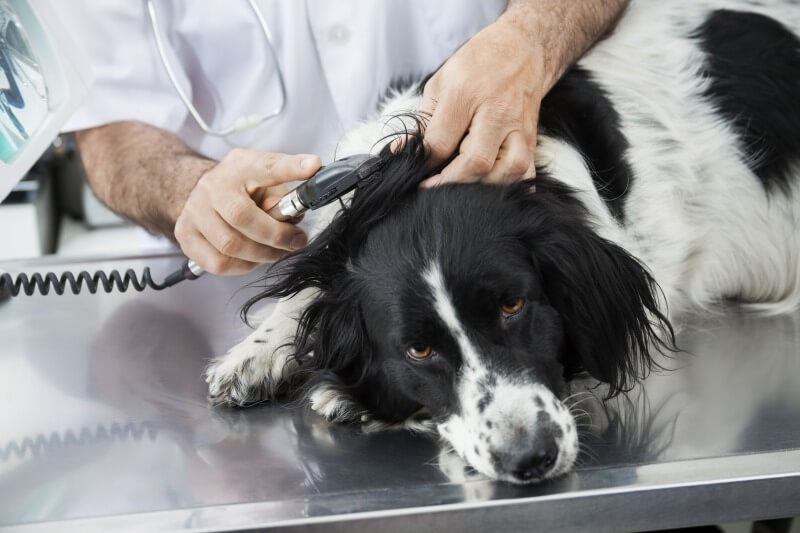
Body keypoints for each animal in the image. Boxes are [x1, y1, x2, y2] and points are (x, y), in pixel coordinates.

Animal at [206, 1, 800, 482]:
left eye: (513, 305)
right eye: (418, 349)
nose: (529, 458)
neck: (413, 177)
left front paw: (343, 395)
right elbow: (314, 285)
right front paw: (257, 353)